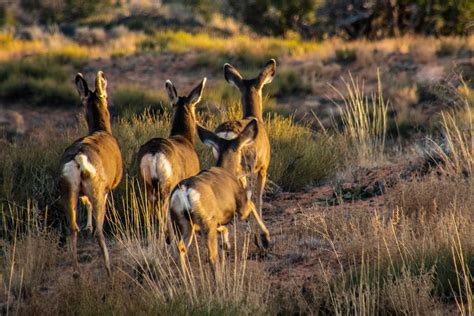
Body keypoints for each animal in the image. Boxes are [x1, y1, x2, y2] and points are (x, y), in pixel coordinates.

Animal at [58, 71, 122, 276]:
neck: (102, 130)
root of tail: (78, 159)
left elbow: (85, 204)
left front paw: (87, 224)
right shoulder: (108, 187)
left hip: (67, 191)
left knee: (72, 228)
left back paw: (76, 273)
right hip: (97, 190)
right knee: (99, 231)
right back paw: (109, 270)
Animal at [136, 78, 205, 232]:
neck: (184, 138)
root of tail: (154, 154)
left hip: (146, 185)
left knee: (149, 213)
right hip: (167, 186)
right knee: (164, 214)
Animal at [169, 118, 270, 272]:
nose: (246, 168)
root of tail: (185, 192)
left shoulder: (218, 217)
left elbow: (223, 227)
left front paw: (226, 243)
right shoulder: (241, 206)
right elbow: (252, 205)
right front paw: (265, 238)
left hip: (182, 223)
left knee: (180, 248)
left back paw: (186, 275)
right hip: (205, 221)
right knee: (211, 256)